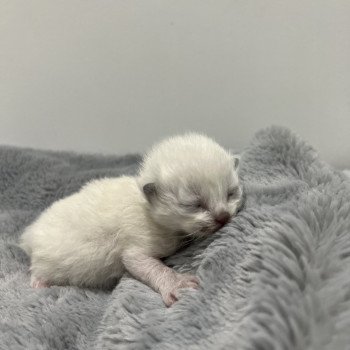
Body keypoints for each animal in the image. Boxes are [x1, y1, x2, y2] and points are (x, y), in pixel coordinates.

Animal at [20, 134, 242, 306]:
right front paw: (176, 284)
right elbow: (142, 263)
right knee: (37, 269)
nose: (223, 217)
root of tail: (30, 234)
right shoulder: (140, 241)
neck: (146, 206)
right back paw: (39, 283)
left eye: (231, 193)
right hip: (47, 260)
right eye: (195, 204)